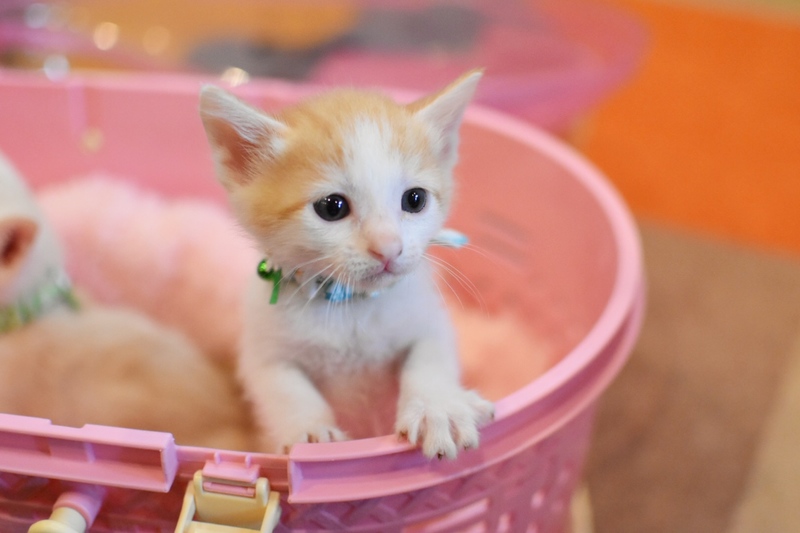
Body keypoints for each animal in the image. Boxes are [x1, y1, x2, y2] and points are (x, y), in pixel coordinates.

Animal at [199, 70, 494, 459]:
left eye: (415, 199)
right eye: (332, 207)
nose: (389, 248)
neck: (350, 307)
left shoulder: (429, 319)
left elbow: (429, 358)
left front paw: (436, 408)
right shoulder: (263, 348)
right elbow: (282, 386)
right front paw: (310, 434)